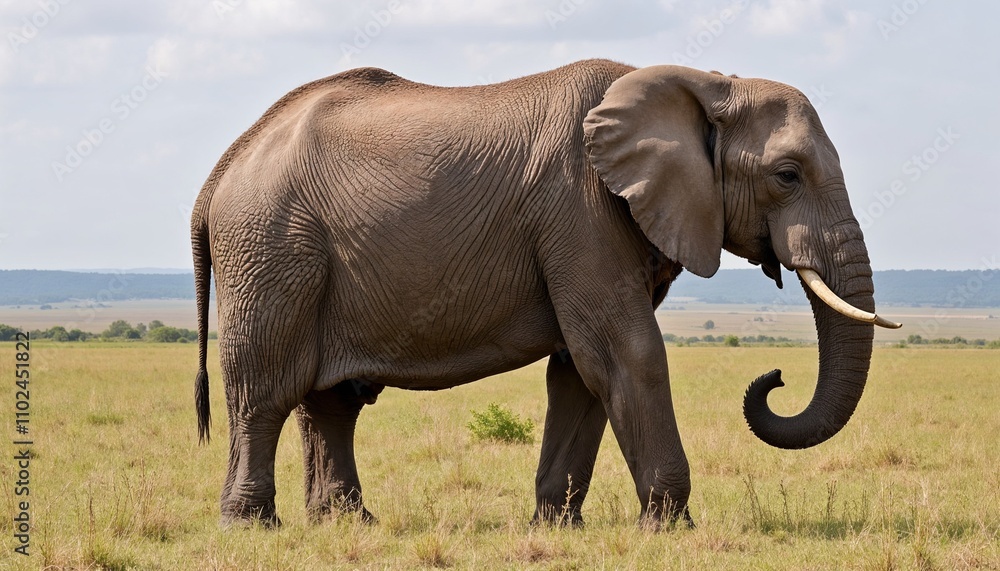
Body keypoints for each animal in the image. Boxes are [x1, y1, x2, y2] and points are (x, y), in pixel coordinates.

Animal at [191, 59, 900, 528]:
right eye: (787, 175)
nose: (773, 377)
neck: (702, 84)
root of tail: (221, 169)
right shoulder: (580, 210)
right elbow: (628, 352)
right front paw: (672, 529)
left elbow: (581, 370)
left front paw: (559, 528)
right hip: (271, 249)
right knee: (264, 390)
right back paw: (253, 527)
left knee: (330, 402)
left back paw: (348, 525)